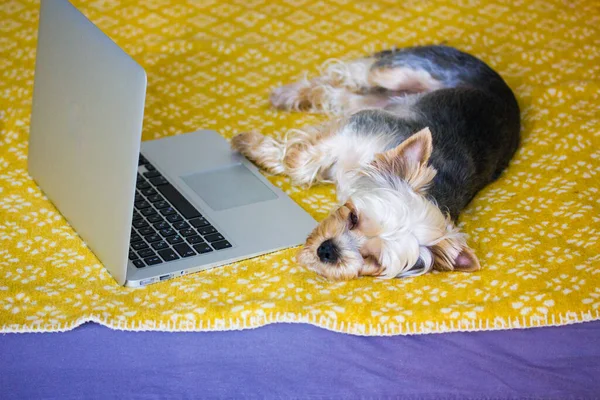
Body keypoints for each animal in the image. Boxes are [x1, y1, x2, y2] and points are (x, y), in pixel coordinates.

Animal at [231, 44, 520, 282]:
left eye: (373, 260)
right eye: (354, 217)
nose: (327, 250)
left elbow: (302, 160)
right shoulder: (355, 128)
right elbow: (299, 162)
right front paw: (251, 147)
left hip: (379, 97)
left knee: (338, 94)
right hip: (398, 72)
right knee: (351, 72)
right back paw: (286, 93)